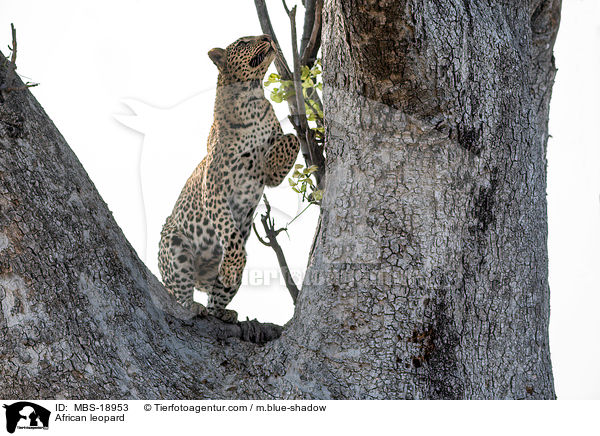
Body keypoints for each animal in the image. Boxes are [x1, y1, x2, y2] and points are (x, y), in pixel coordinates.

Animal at [158, 35, 300, 324]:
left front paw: (272, 154)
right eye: (244, 42)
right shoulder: (215, 189)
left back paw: (223, 312)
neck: (252, 98)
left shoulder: (270, 175)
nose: (268, 37)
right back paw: (193, 305)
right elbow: (230, 234)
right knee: (181, 292)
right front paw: (231, 264)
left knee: (217, 296)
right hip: (175, 247)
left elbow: (292, 138)